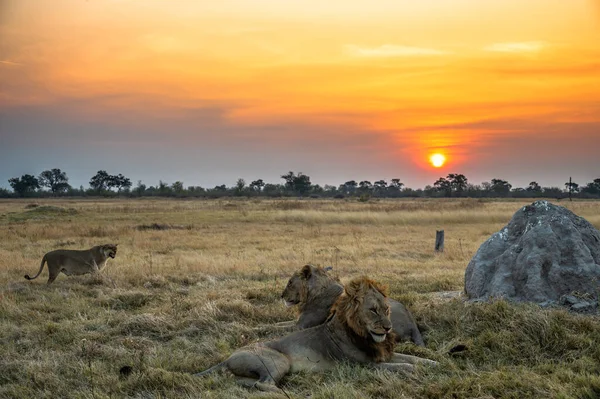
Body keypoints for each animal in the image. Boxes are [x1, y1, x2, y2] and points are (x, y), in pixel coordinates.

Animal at [195, 276, 438, 392]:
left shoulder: (383, 355)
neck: (363, 335)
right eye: (372, 310)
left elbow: (413, 358)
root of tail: (228, 357)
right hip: (277, 361)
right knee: (262, 384)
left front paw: (433, 363)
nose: (388, 328)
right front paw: (413, 370)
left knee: (248, 383)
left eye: (386, 309)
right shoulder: (363, 366)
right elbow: (401, 366)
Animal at [278, 266, 424, 346]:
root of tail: (412, 323)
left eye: (290, 282)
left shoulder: (301, 326)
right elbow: (279, 323)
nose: (281, 295)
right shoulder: (298, 321)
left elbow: (277, 327)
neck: (311, 295)